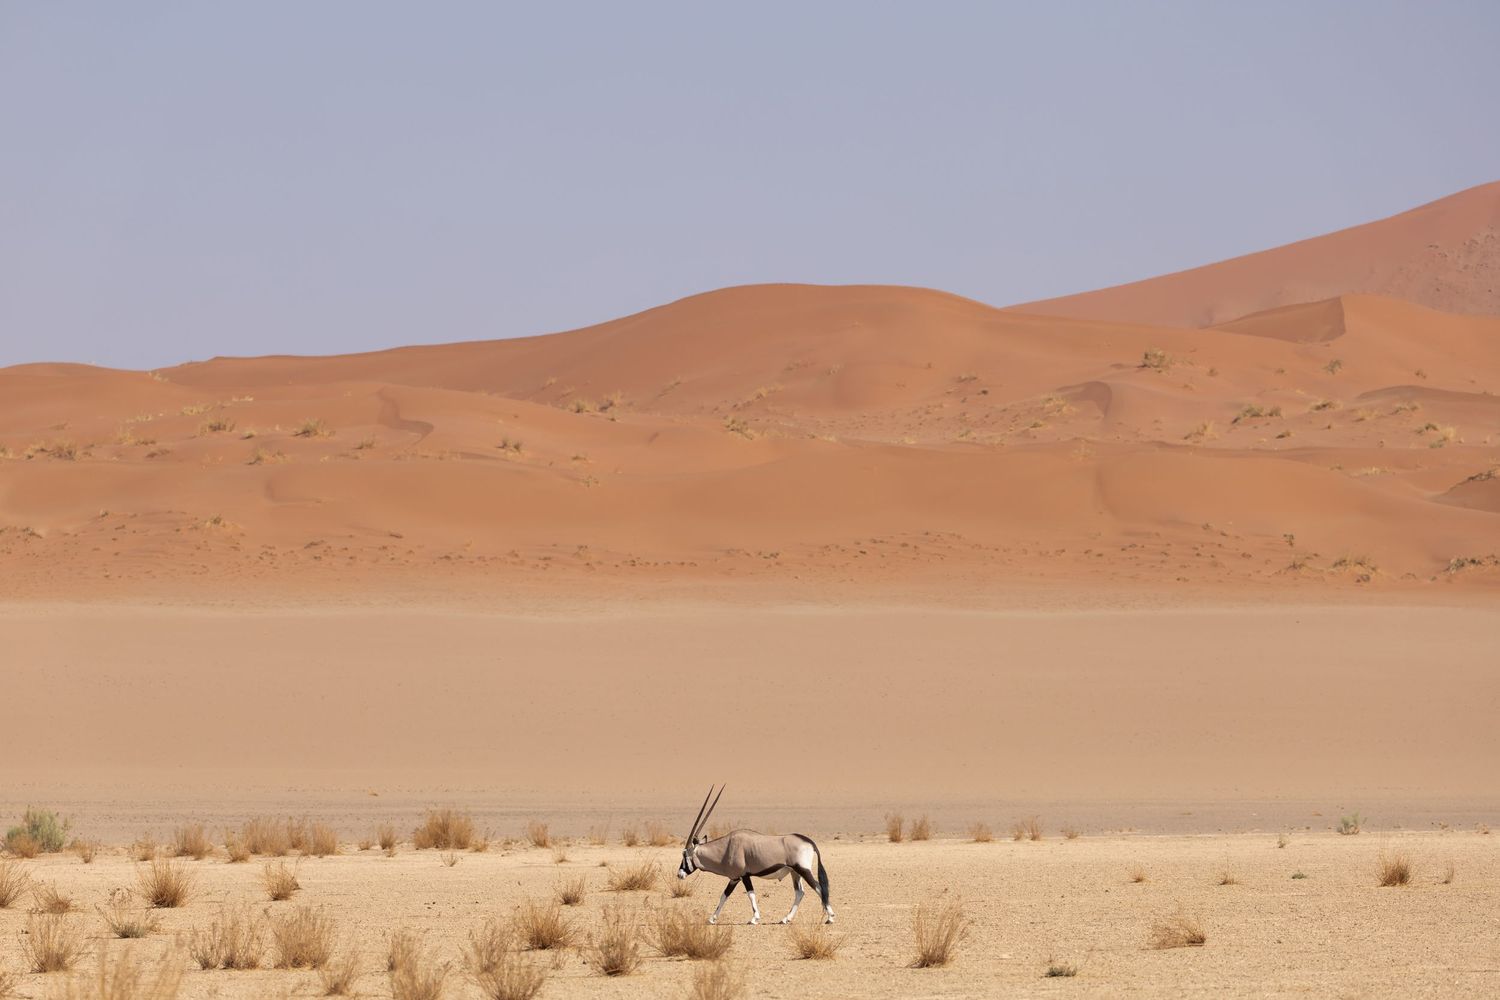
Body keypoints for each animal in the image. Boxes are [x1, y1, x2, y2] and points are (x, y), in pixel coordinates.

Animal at [675, 785, 834, 925]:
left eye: (684, 855)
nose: (679, 874)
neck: (726, 848)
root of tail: (809, 842)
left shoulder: (744, 875)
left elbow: (751, 894)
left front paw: (754, 919)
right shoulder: (734, 878)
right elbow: (724, 896)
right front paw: (712, 919)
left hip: (803, 870)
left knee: (819, 887)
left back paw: (830, 917)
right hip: (795, 872)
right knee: (800, 892)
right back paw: (785, 919)